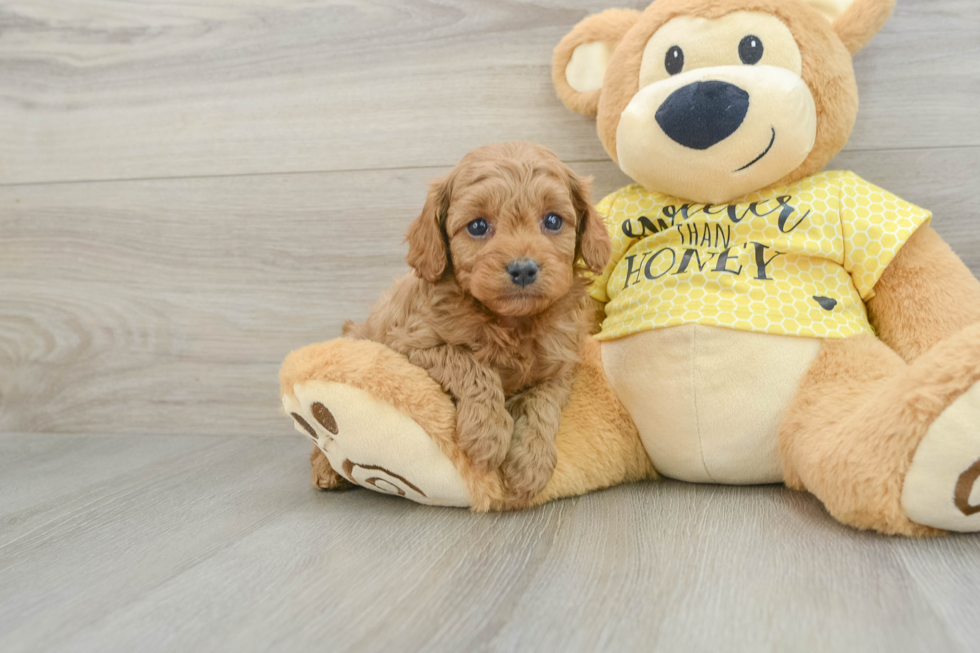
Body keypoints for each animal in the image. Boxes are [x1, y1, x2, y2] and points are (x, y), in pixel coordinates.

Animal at [340, 140, 608, 502]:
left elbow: (544, 404)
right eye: (478, 226)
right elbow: (470, 364)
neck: (511, 322)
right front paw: (488, 434)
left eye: (553, 221)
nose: (523, 269)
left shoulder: (560, 367)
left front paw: (531, 463)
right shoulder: (409, 345)